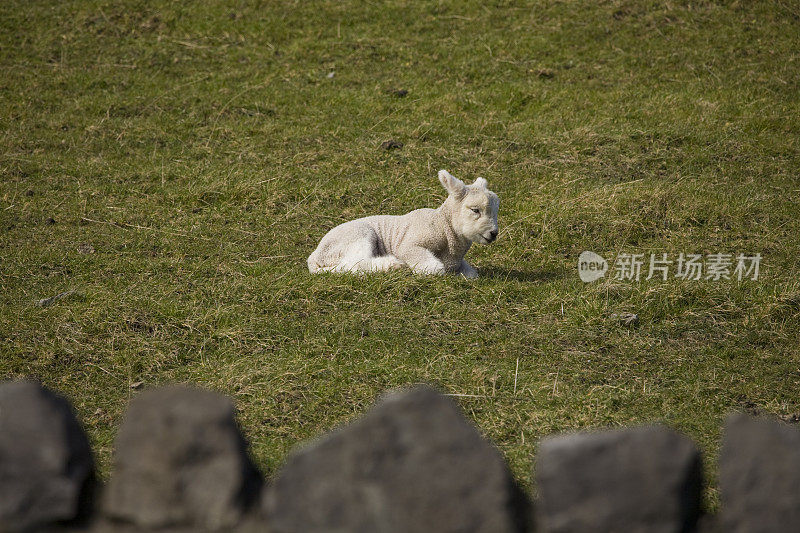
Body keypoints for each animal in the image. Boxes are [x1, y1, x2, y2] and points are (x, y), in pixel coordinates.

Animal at [308, 170, 500, 278]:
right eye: (475, 210)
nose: (494, 233)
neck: (443, 226)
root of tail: (314, 258)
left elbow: (472, 274)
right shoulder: (408, 245)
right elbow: (434, 268)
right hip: (356, 236)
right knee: (355, 263)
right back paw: (393, 265)